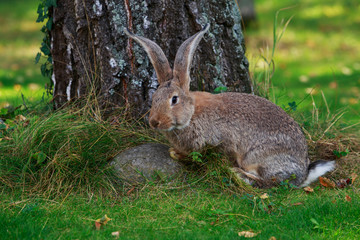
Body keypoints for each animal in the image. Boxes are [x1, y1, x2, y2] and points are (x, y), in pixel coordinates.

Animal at [125, 23, 336, 188]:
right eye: (154, 98)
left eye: (174, 100)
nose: (154, 122)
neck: (192, 115)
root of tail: (303, 173)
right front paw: (174, 152)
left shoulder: (223, 141)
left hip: (256, 157)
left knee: (270, 182)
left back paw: (239, 173)